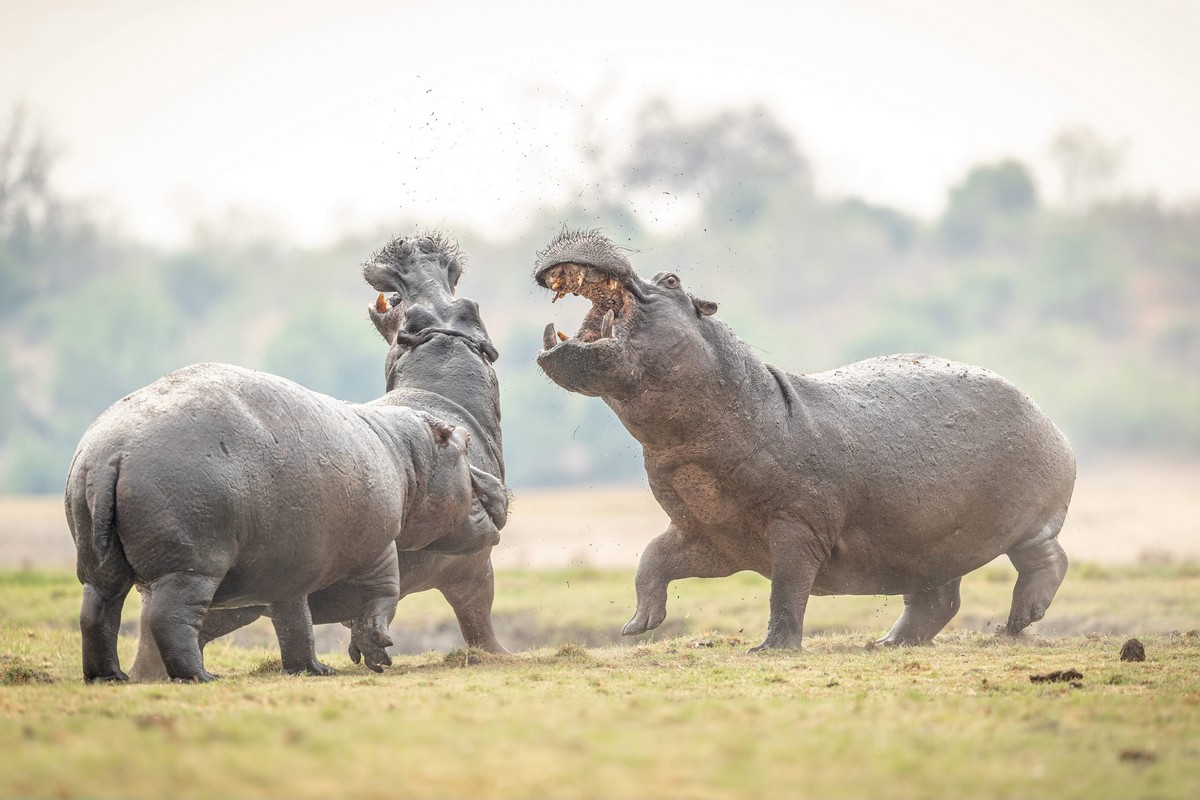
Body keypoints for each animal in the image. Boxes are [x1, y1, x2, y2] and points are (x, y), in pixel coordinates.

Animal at [65, 362, 506, 681]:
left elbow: (296, 623)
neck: (407, 457)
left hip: (101, 564)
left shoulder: (290, 570)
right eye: (464, 443)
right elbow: (382, 599)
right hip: (190, 567)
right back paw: (201, 677)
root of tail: (112, 452)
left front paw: (315, 670)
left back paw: (110, 677)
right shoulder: (378, 547)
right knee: (169, 617)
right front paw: (376, 655)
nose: (499, 484)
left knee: (97, 613)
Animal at [131, 231, 511, 676]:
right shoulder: (476, 565)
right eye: (411, 324)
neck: (442, 356)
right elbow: (478, 615)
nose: (417, 248)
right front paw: (501, 655)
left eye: (470, 308)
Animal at [535, 230, 1080, 652]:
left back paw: (1020, 621)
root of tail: (1048, 417)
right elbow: (652, 558)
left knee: (1047, 558)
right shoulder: (710, 534)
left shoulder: (796, 527)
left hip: (1023, 521)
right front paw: (638, 626)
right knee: (938, 598)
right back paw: (888, 642)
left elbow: (787, 589)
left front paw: (770, 649)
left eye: (671, 279)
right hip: (930, 541)